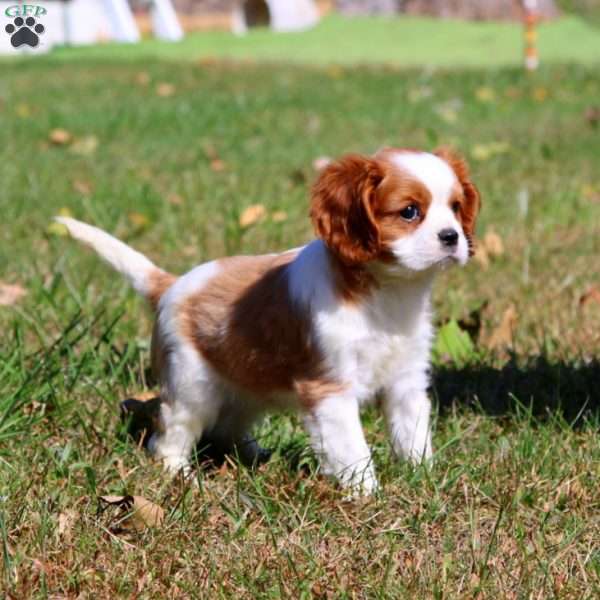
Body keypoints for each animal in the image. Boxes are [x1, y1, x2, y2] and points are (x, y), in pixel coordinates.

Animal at [55, 145, 478, 492]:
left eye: (456, 208)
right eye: (409, 212)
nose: (451, 236)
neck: (388, 291)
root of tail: (172, 284)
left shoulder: (406, 381)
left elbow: (413, 433)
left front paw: (424, 479)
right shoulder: (330, 388)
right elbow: (352, 448)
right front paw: (367, 494)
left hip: (245, 385)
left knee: (227, 427)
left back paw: (253, 456)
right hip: (192, 384)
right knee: (170, 433)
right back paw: (181, 473)